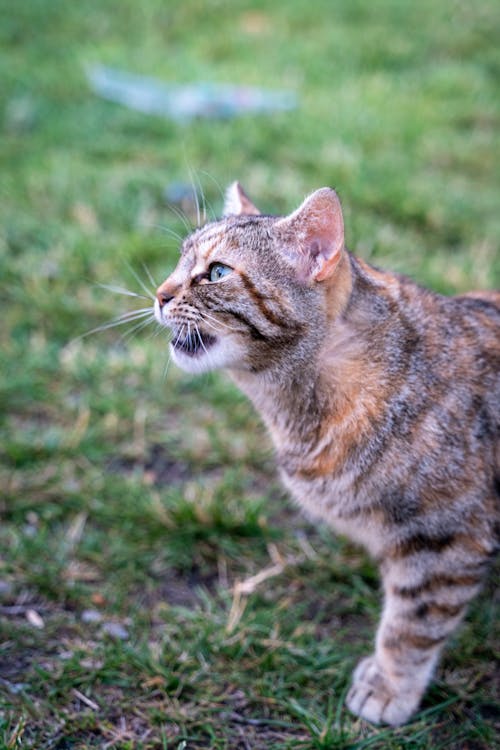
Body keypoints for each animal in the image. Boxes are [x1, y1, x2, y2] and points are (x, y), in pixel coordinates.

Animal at [153, 184, 500, 728]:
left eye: (217, 273)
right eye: (179, 261)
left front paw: (389, 686)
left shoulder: (447, 540)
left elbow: (411, 625)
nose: (159, 294)